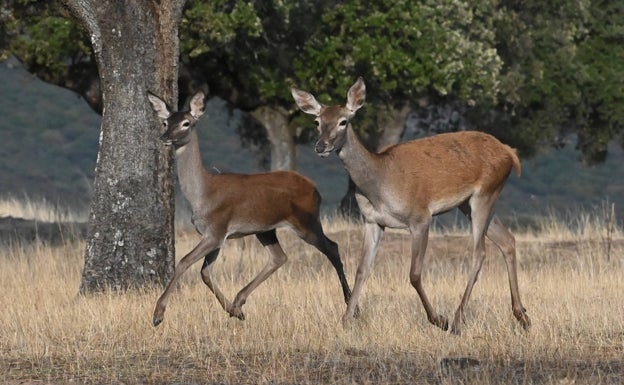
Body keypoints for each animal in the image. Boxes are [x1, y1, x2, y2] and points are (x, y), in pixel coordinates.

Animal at [146, 91, 352, 326]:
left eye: (186, 123)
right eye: (165, 122)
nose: (164, 138)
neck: (202, 195)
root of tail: (314, 188)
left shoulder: (216, 230)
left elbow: (183, 261)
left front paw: (158, 314)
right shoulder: (217, 235)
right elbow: (205, 273)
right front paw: (234, 311)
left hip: (307, 221)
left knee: (332, 247)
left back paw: (349, 301)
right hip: (265, 229)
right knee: (279, 257)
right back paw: (238, 302)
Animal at [292, 78, 532, 332]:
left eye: (343, 121)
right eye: (317, 121)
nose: (321, 146)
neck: (379, 185)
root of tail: (510, 153)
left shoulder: (420, 217)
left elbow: (414, 274)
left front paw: (438, 319)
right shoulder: (372, 221)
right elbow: (362, 269)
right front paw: (347, 319)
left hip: (484, 194)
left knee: (480, 253)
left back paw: (457, 319)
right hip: (470, 203)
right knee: (508, 240)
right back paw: (522, 315)